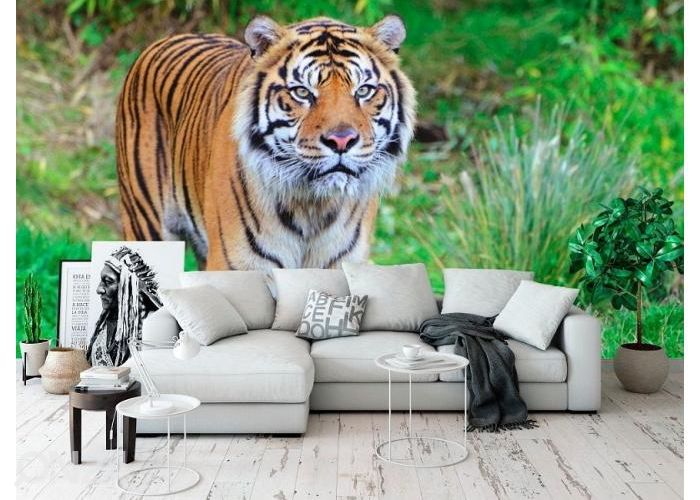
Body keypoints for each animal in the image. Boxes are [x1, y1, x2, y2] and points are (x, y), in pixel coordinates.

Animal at [115, 15, 415, 270]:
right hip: (146, 226)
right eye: (302, 93)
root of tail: (167, 39)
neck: (313, 208)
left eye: (363, 91)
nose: (341, 141)